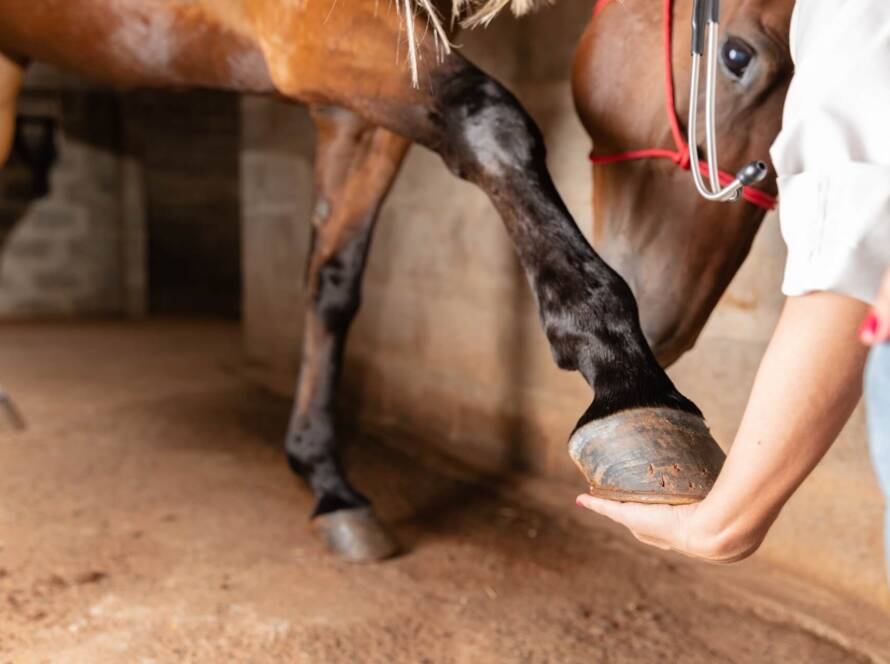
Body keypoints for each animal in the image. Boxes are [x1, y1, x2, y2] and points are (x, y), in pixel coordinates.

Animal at [0, 0, 720, 564]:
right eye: (734, 58)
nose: (680, 317)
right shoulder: (315, 34)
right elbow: (488, 118)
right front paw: (629, 381)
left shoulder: (360, 106)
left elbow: (333, 283)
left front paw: (325, 479)